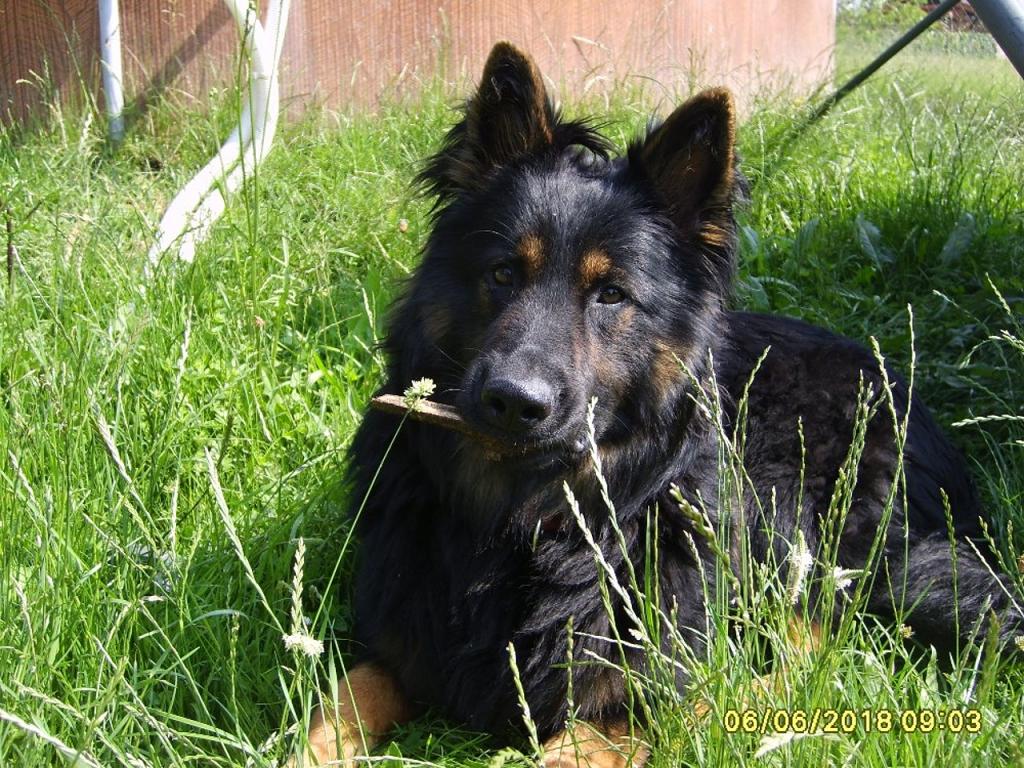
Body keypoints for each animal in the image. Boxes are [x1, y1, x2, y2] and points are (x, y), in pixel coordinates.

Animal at [298, 42, 1021, 767]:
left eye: (611, 294)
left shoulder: (627, 687)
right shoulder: (399, 643)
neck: (524, 518)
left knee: (816, 645)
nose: (513, 403)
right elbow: (334, 708)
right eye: (503, 273)